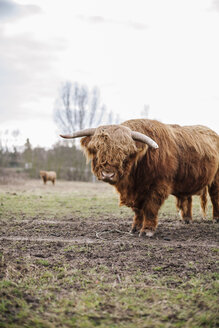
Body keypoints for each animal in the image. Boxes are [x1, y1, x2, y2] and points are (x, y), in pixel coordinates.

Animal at [60, 119, 219, 237]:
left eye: (124, 152)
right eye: (98, 149)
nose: (107, 174)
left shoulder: (158, 186)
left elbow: (150, 208)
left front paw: (147, 230)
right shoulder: (136, 191)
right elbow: (138, 210)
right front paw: (135, 228)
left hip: (216, 179)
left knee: (215, 196)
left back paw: (216, 219)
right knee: (187, 198)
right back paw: (186, 220)